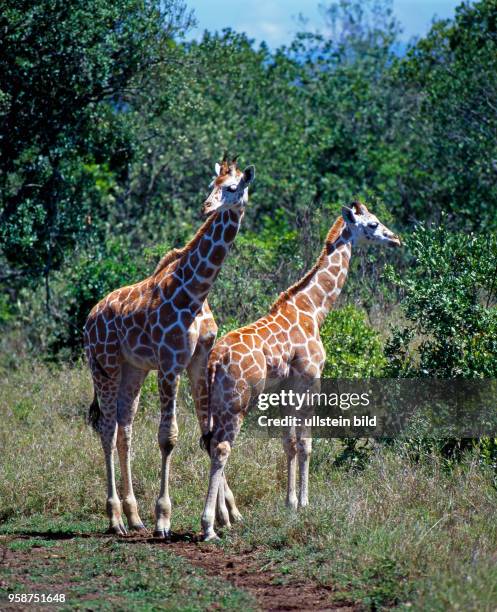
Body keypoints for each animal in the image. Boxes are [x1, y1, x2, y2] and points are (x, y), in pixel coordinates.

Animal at [83, 157, 254, 536]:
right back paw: (116, 518)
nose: (207, 206)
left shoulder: (197, 362)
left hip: (132, 369)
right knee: (106, 429)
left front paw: (226, 515)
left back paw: (134, 516)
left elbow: (208, 434)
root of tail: (89, 318)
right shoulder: (170, 363)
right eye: (212, 184)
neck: (196, 293)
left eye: (232, 187)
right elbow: (168, 437)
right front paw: (164, 516)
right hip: (104, 365)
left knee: (124, 429)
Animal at [201, 201, 400, 540]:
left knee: (210, 443)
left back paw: (225, 517)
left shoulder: (284, 387)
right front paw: (304, 502)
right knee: (223, 447)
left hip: (213, 401)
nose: (395, 239)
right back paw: (209, 526)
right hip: (237, 402)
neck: (314, 309)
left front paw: (290, 502)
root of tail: (215, 359)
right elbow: (306, 443)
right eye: (373, 224)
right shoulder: (310, 378)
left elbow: (288, 443)